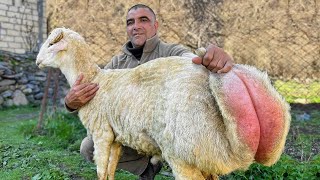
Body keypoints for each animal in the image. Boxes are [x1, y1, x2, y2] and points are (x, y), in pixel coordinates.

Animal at [36, 27, 292, 179]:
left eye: (51, 44)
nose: (37, 62)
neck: (95, 79)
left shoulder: (101, 133)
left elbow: (100, 171)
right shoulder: (115, 137)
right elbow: (109, 170)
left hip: (185, 153)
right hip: (207, 155)